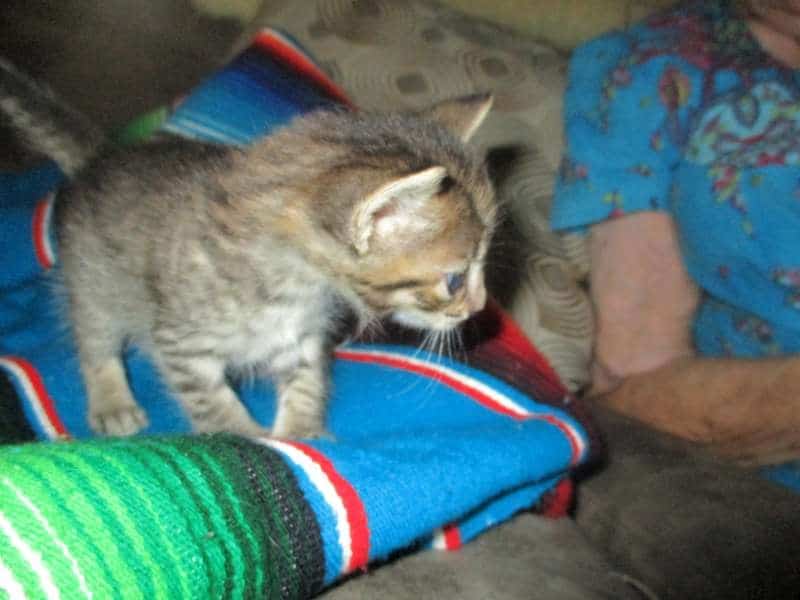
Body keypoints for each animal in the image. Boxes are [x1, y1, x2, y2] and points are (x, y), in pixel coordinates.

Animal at [0, 58, 496, 439]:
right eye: (454, 280)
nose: (479, 306)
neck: (295, 284)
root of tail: (102, 158)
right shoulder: (181, 342)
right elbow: (212, 402)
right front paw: (247, 437)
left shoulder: (300, 337)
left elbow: (307, 382)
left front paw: (301, 434)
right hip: (95, 282)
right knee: (92, 336)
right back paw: (111, 401)